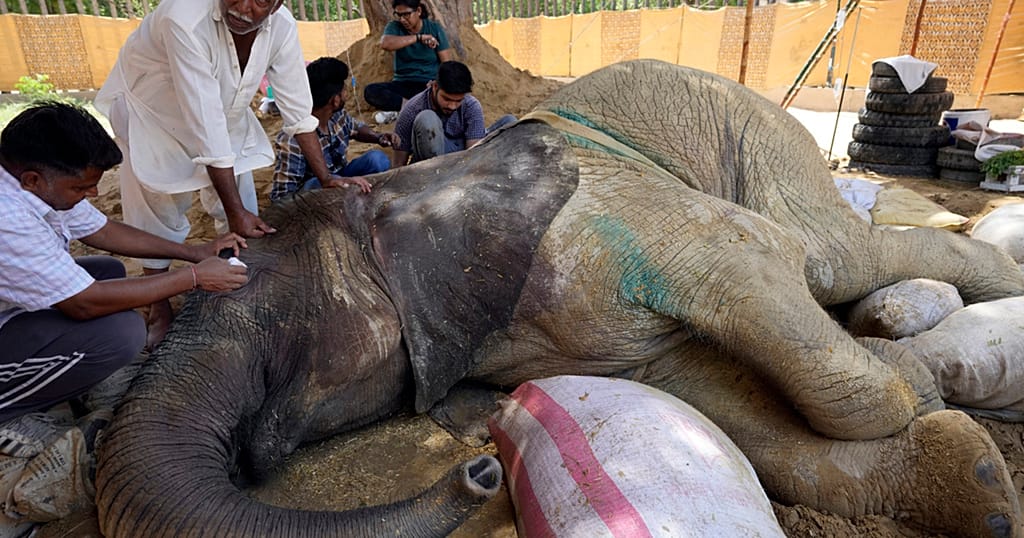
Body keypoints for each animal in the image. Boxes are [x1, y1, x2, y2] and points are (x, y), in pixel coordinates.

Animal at [95, 59, 1024, 537]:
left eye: (257, 308)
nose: (480, 466)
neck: (395, 196)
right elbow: (720, 405)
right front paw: (975, 484)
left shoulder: (603, 221)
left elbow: (755, 261)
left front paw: (914, 381)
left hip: (756, 128)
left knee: (830, 255)